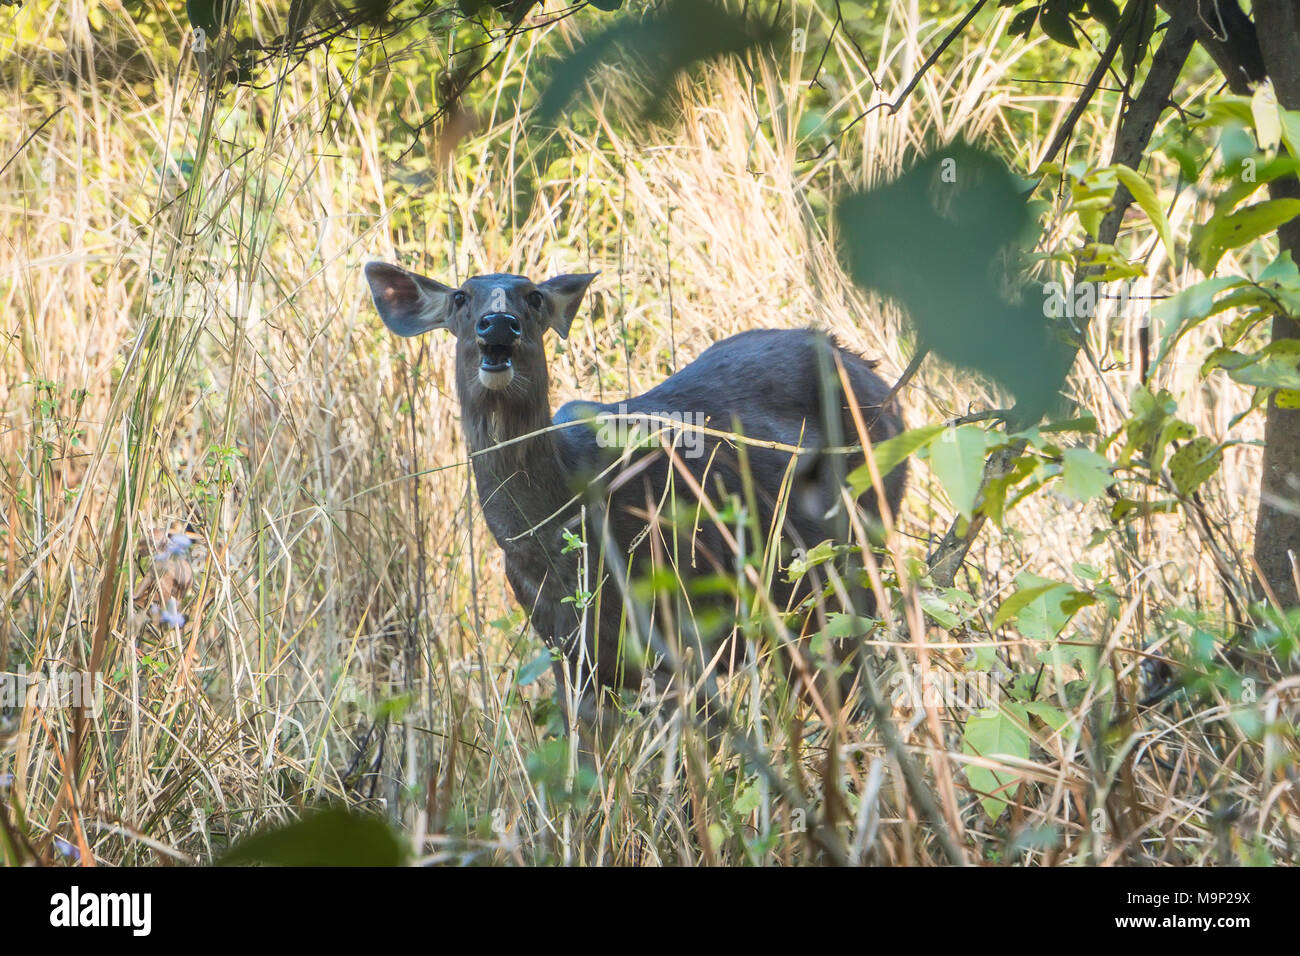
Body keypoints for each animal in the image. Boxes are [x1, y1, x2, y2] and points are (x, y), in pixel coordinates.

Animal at [366, 261, 904, 723]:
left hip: (852, 563)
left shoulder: (682, 632)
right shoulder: (570, 656)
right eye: (460, 296)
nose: (498, 324)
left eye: (534, 295)